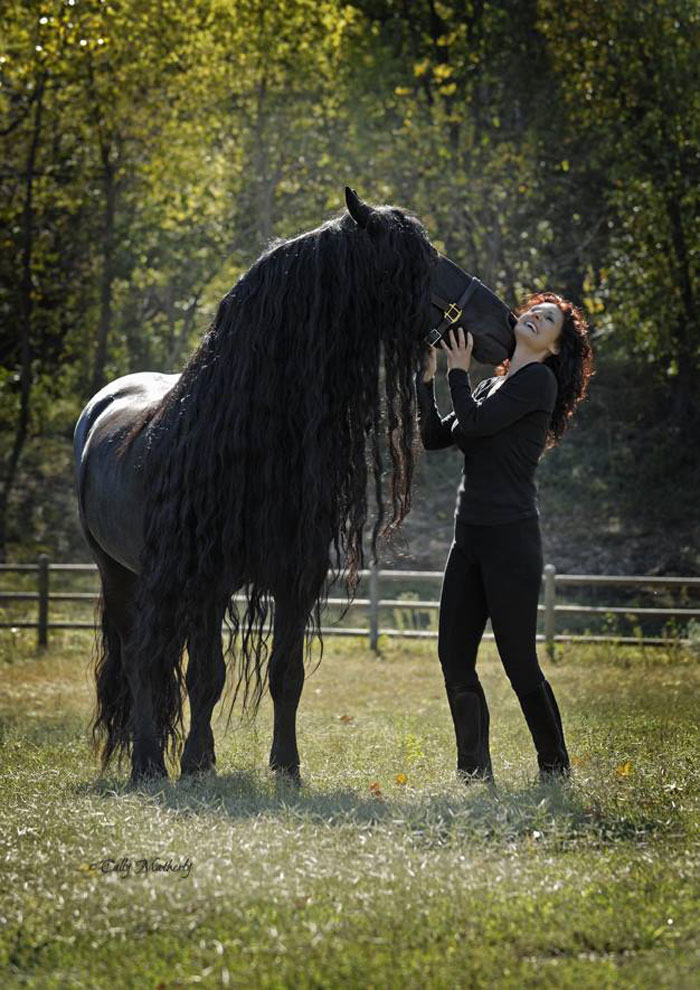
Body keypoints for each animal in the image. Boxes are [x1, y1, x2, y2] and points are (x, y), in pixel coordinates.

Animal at [75, 186, 516, 784]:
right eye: (416, 262)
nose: (507, 323)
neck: (246, 437)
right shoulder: (207, 582)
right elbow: (205, 675)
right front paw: (195, 765)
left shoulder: (296, 578)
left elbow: (286, 673)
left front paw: (285, 767)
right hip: (122, 574)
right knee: (141, 655)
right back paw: (146, 764)